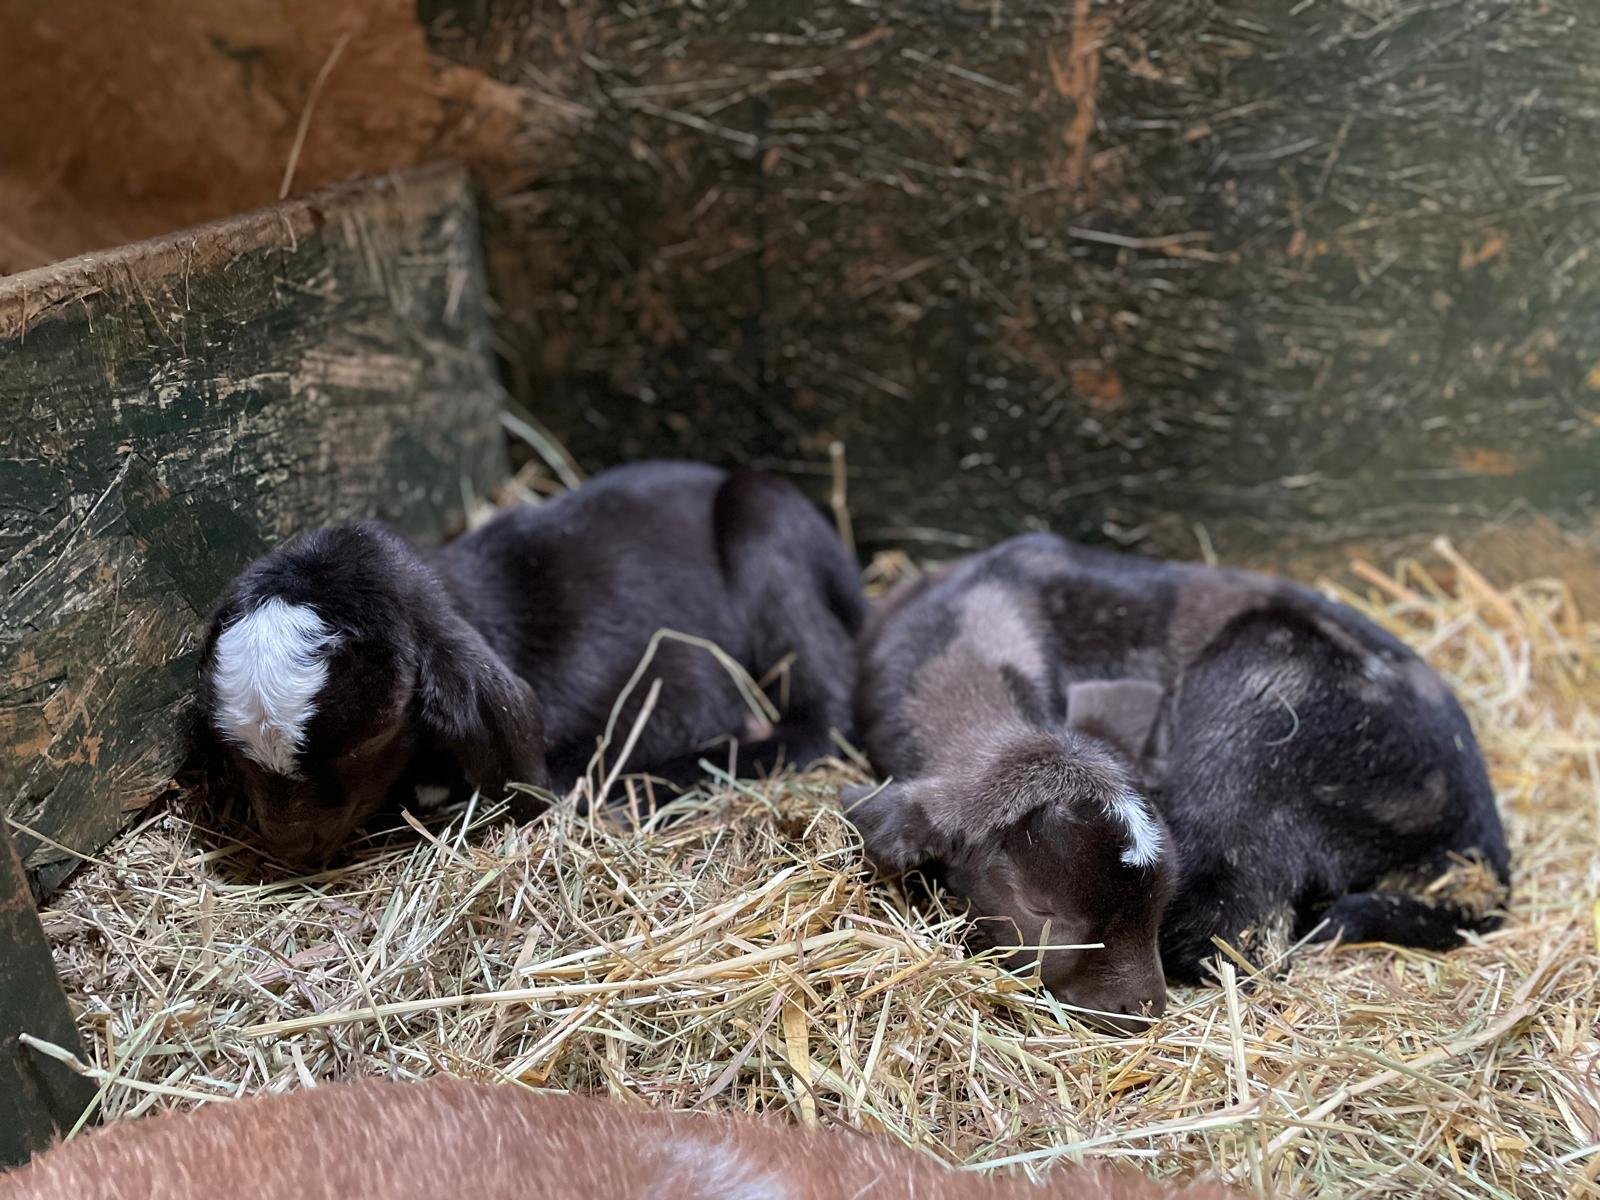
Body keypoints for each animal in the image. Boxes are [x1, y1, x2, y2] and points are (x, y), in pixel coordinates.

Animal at [195, 461, 865, 867]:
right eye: (228, 743)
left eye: (368, 740)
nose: (289, 841)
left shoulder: (681, 683)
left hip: (762, 518)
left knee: (823, 715)